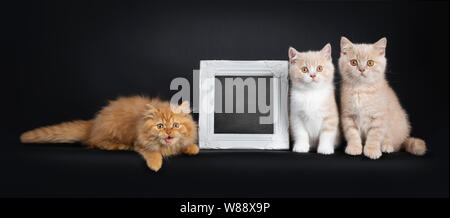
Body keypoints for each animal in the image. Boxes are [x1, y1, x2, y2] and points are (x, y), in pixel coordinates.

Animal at [19, 96, 199, 171]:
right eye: (160, 126)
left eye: (175, 125)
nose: (168, 132)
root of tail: (95, 122)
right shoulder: (139, 142)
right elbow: (152, 152)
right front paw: (155, 164)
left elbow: (186, 145)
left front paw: (192, 148)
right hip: (110, 130)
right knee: (95, 143)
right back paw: (120, 145)